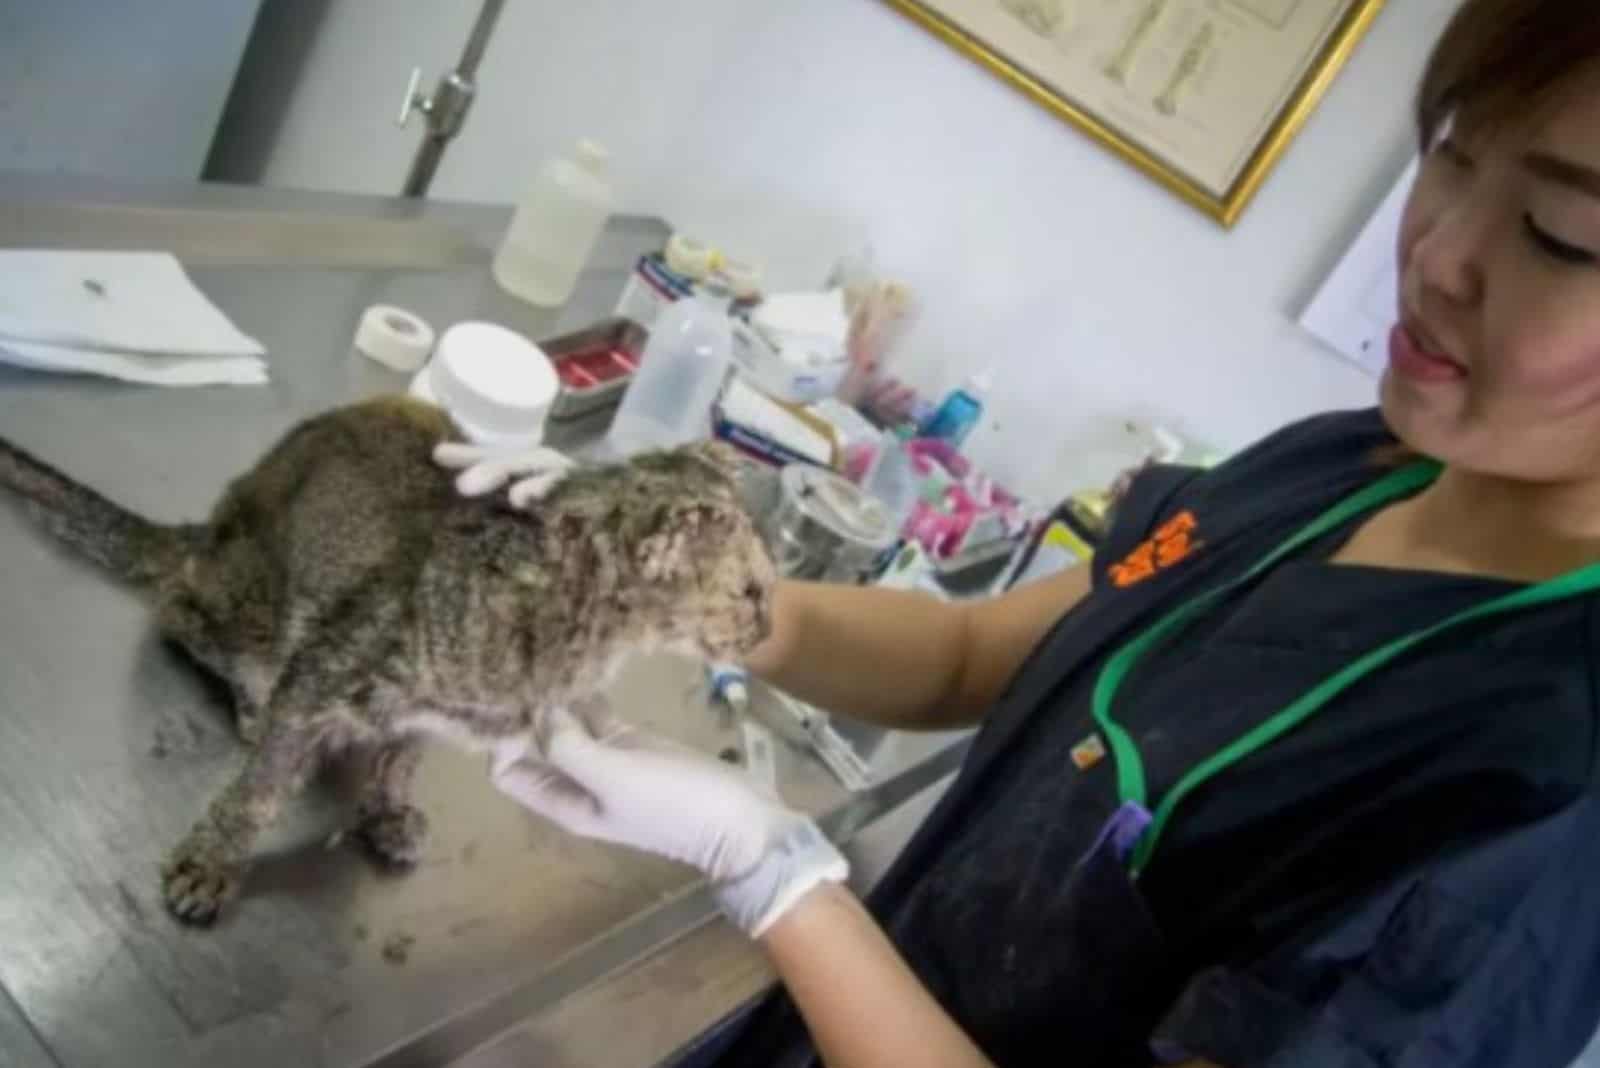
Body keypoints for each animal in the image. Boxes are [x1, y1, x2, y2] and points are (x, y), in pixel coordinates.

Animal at [0, 398, 774, 927]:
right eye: (753, 591)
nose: (771, 627)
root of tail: (209, 527)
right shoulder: (325, 668)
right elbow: (258, 792)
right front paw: (212, 860)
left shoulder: (431, 715)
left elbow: (402, 757)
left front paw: (390, 808)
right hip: (245, 604)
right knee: (179, 609)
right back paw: (248, 695)